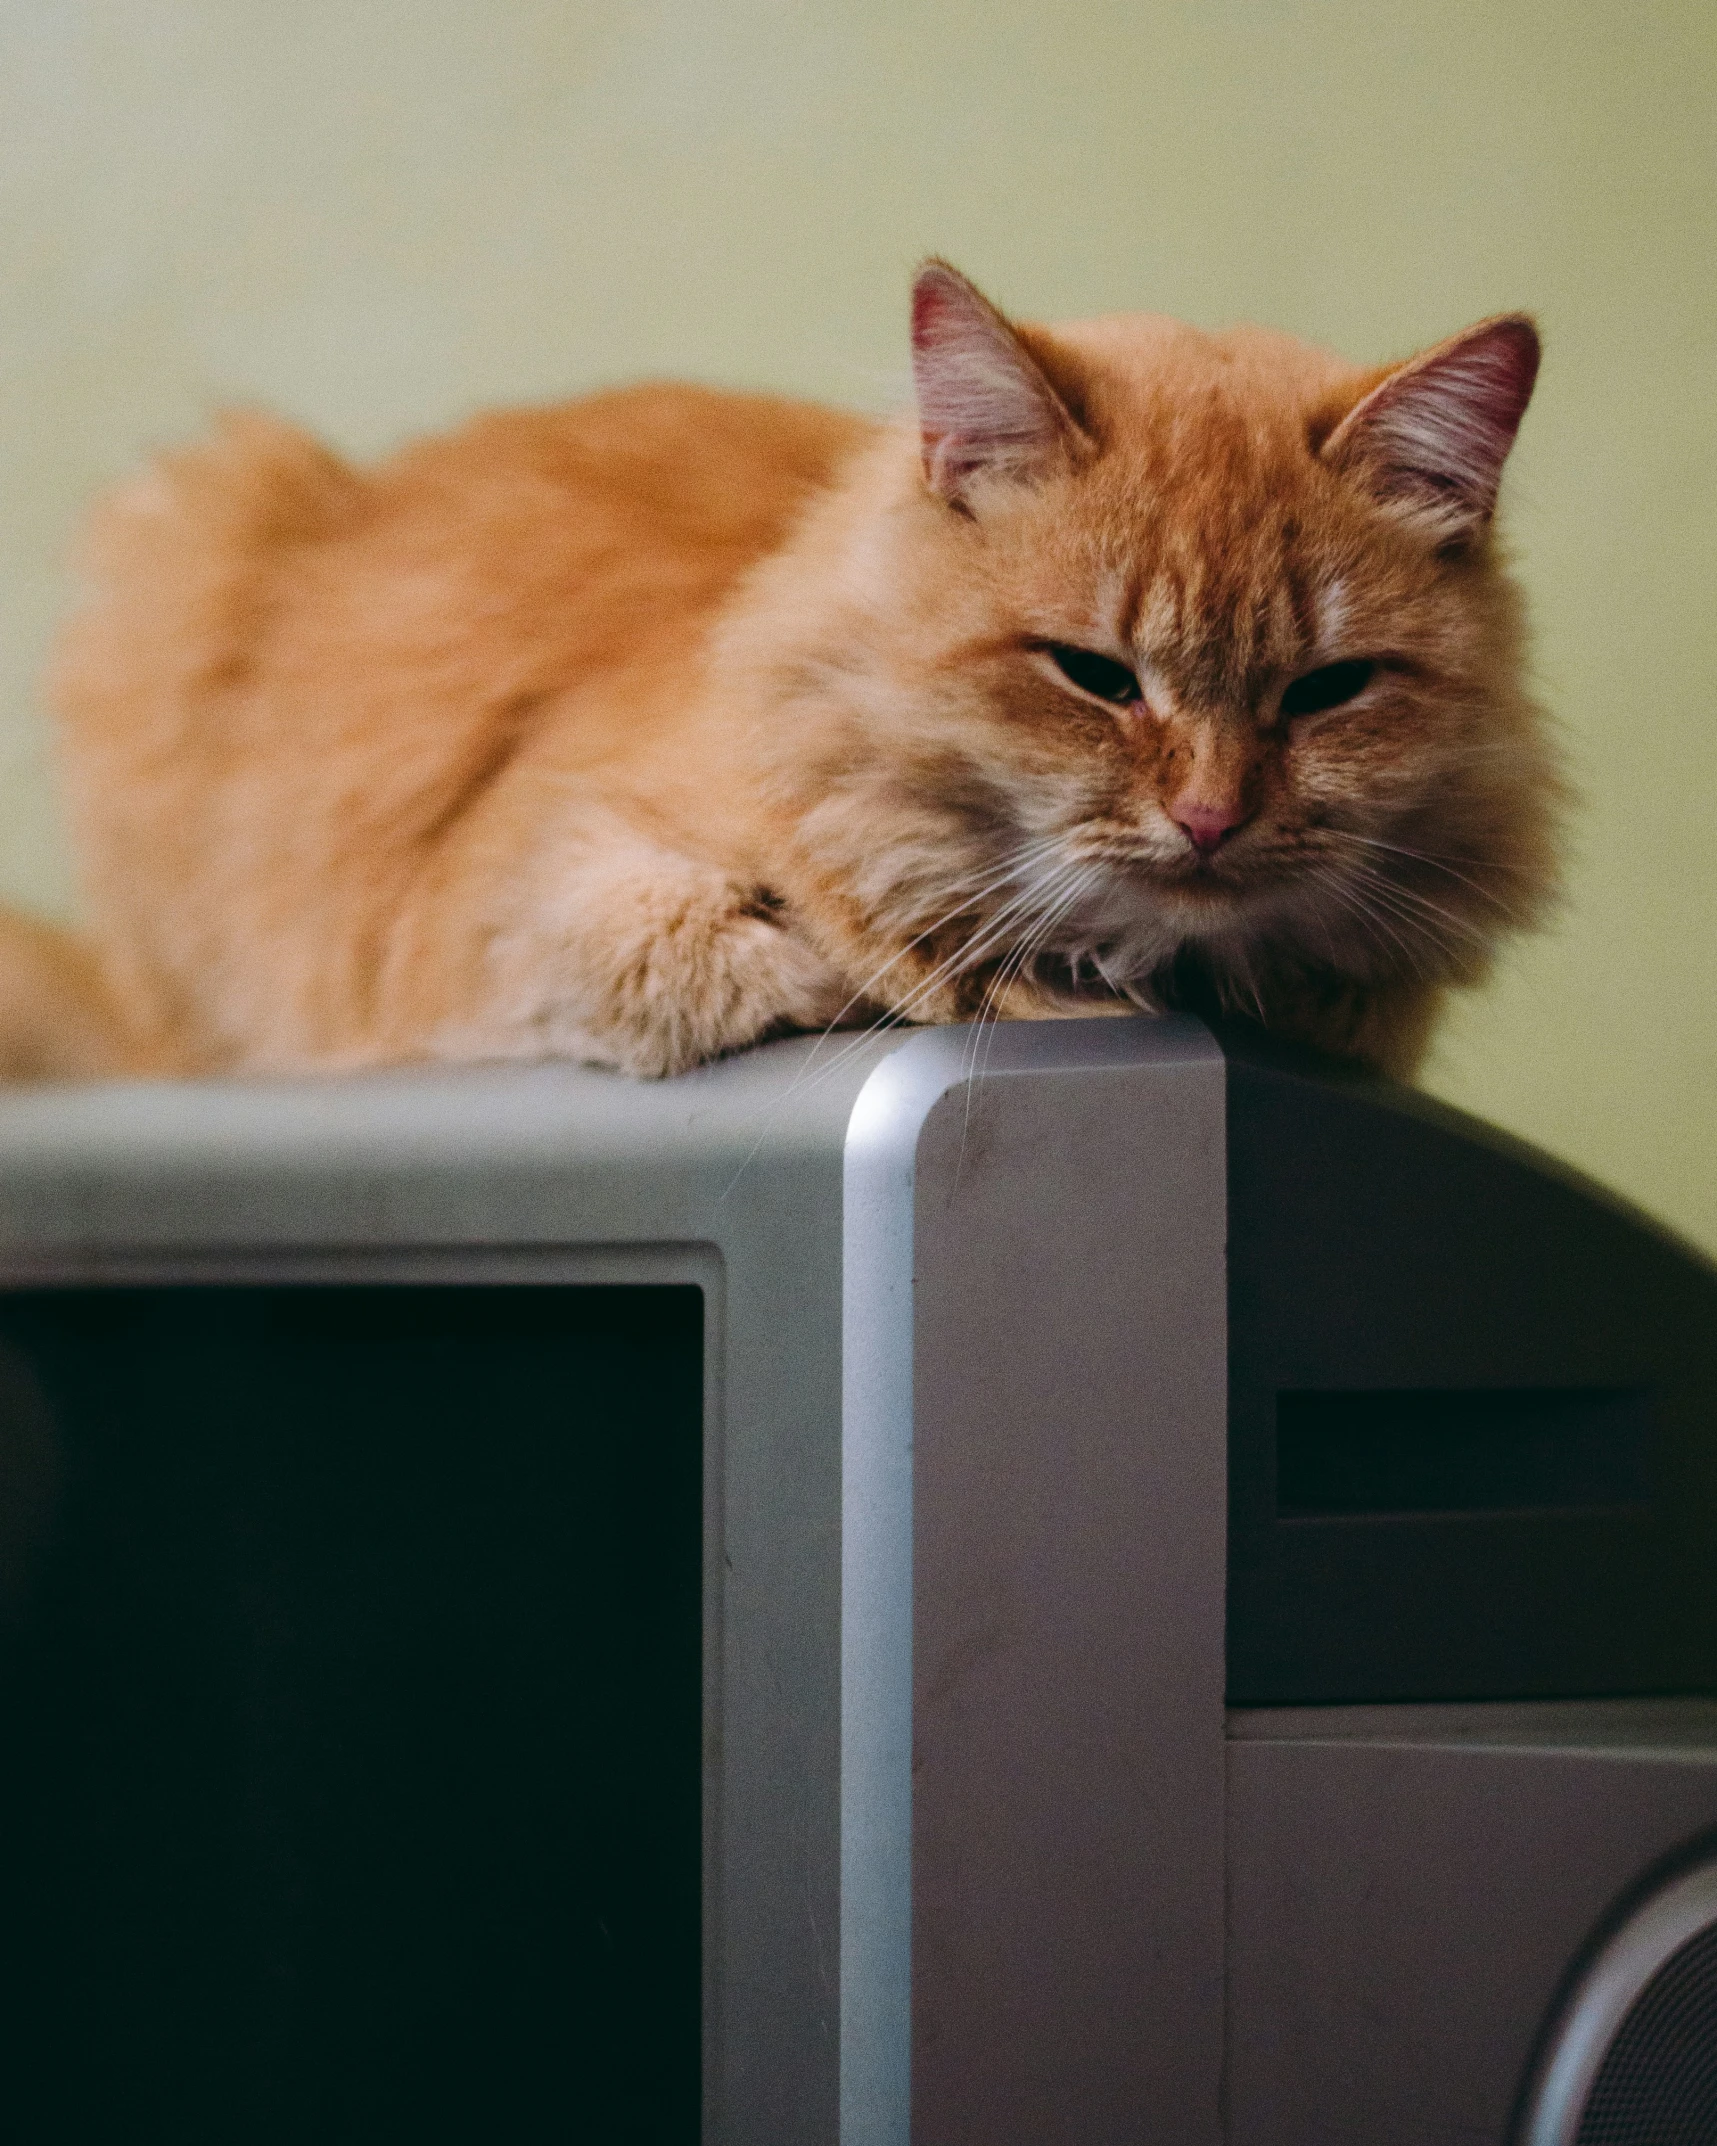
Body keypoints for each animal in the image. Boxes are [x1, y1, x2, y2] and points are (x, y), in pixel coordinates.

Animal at [6, 259, 1562, 1081]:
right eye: (1095, 676)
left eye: (1324, 691)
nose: (1209, 818)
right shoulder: (506, 899)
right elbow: (689, 947)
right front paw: (837, 965)